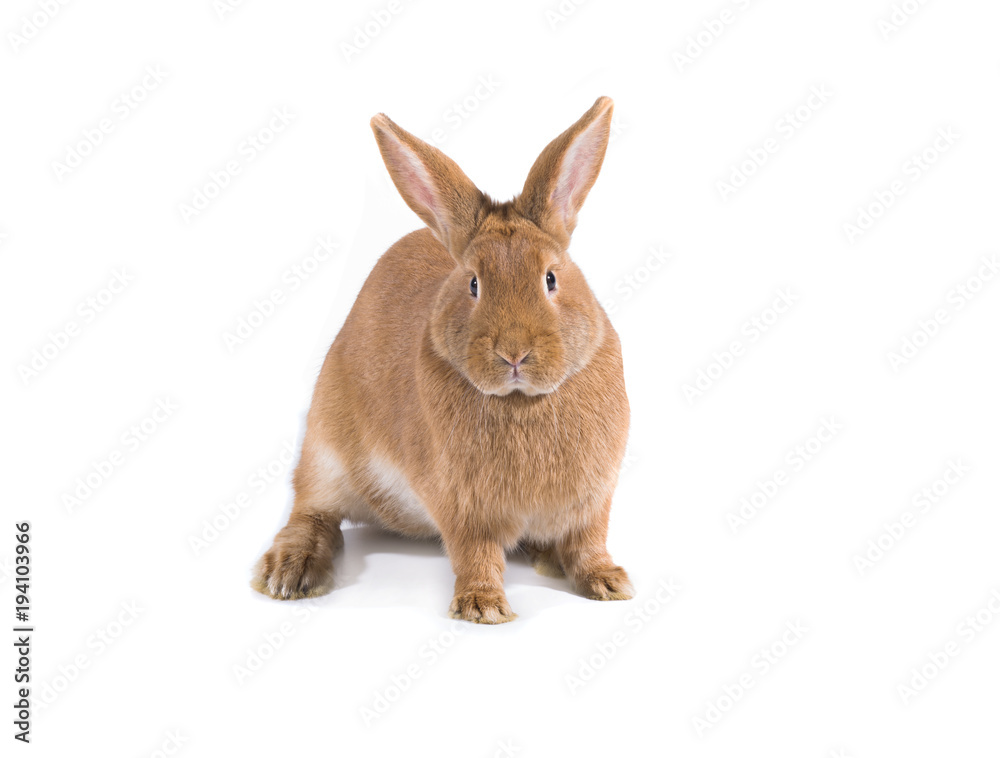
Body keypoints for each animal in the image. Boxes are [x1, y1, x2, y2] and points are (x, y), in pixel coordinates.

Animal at [252, 96, 632, 623]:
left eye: (551, 278)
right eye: (473, 283)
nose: (514, 352)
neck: (522, 401)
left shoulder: (593, 502)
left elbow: (589, 543)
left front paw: (610, 582)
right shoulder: (461, 506)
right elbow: (475, 553)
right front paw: (483, 607)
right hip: (325, 449)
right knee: (311, 509)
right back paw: (291, 570)